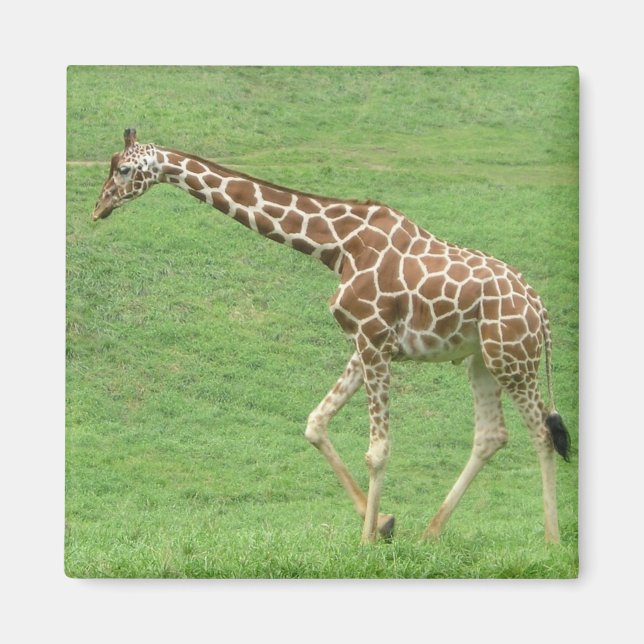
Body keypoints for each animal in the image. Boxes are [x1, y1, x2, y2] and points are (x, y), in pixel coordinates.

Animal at [92, 129, 571, 544]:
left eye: (124, 170)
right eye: (112, 164)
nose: (98, 208)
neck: (339, 244)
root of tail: (542, 311)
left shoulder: (375, 340)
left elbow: (378, 449)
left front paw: (365, 542)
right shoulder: (365, 344)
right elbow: (315, 424)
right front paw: (383, 523)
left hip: (513, 358)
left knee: (542, 432)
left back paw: (551, 540)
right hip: (482, 360)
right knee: (492, 435)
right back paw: (431, 533)